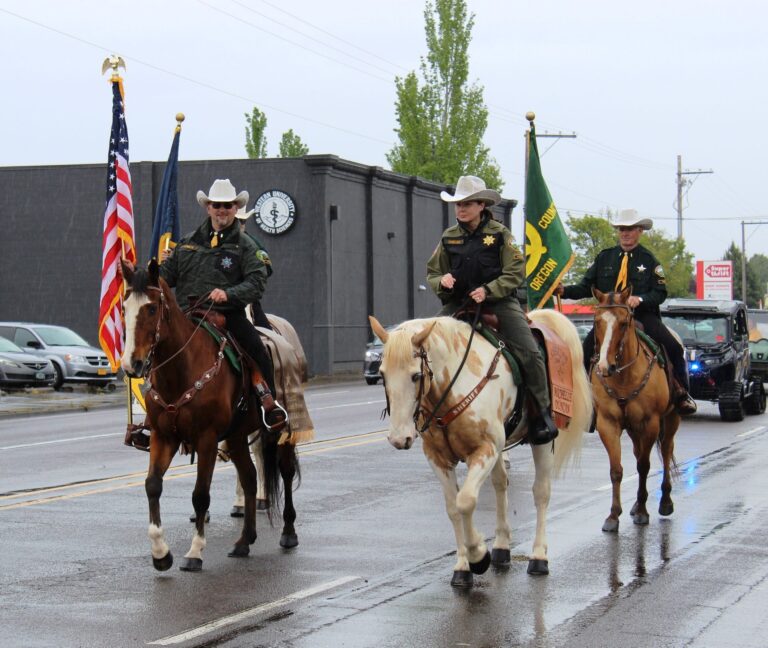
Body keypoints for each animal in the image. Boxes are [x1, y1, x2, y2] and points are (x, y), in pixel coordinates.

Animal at [121, 258, 300, 572]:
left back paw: (288, 533)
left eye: (152, 309)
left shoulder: (206, 440)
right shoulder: (163, 436)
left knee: (286, 471)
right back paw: (244, 541)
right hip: (238, 435)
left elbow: (200, 495)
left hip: (281, 429)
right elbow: (152, 485)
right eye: (124, 308)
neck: (181, 370)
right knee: (250, 477)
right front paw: (160, 553)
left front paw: (194, 552)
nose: (132, 364)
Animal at [368, 308, 592, 588]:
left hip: (541, 440)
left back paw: (539, 556)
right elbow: (453, 508)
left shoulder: (485, 450)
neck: (456, 384)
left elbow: (465, 501)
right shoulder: (438, 458)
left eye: (415, 375)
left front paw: (478, 556)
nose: (399, 438)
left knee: (541, 492)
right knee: (500, 484)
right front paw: (463, 568)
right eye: (383, 375)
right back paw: (501, 547)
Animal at [592, 288, 680, 532]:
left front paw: (642, 511)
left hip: (671, 419)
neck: (623, 376)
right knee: (638, 450)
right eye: (597, 322)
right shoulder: (608, 423)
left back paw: (665, 501)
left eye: (623, 323)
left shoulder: (650, 423)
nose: (605, 366)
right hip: (633, 429)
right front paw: (613, 515)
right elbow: (616, 470)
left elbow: (643, 466)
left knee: (666, 450)